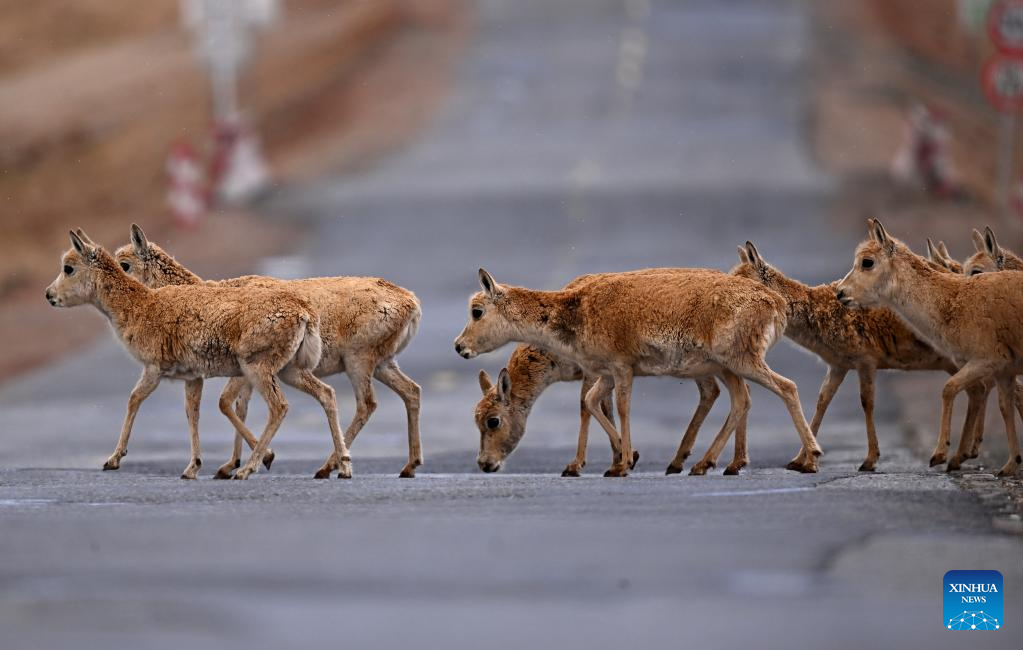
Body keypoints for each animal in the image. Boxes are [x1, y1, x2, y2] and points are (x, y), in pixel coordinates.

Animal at [45, 229, 351, 479]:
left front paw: (113, 460)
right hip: (289, 370)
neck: (141, 305)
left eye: (68, 268)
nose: (49, 295)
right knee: (326, 394)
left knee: (279, 407)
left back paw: (249, 468)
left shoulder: (154, 369)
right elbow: (193, 413)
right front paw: (193, 467)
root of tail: (304, 313)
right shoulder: (193, 377)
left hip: (258, 368)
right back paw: (342, 466)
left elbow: (134, 400)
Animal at [116, 226, 423, 481]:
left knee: (366, 404)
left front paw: (254, 460)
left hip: (358, 361)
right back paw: (408, 465)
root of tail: (411, 302)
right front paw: (232, 465)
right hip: (383, 363)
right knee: (411, 391)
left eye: (124, 264)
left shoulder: (244, 369)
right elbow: (239, 406)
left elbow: (226, 403)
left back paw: (331, 466)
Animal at [456, 266, 822, 474]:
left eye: (493, 421)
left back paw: (810, 458)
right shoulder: (605, 373)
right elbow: (592, 403)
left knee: (785, 387)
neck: (575, 311)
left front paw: (615, 465)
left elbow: (617, 407)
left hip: (739, 361)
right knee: (740, 400)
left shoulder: (620, 368)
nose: (459, 346)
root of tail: (776, 303)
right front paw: (623, 458)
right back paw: (707, 464)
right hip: (727, 366)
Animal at [838, 220, 1023, 479]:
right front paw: (1009, 465)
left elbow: (949, 389)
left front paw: (939, 455)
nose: (841, 293)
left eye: (867, 262)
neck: (954, 301)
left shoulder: (988, 360)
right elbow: (1005, 406)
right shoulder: (1003, 369)